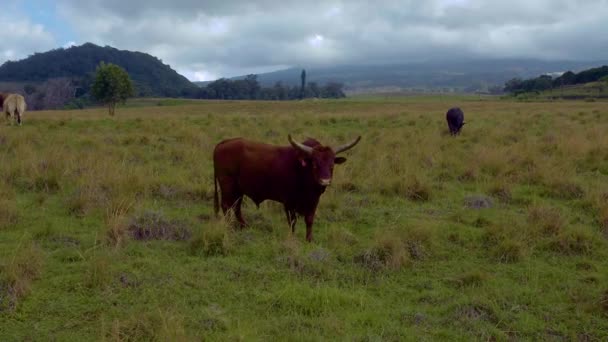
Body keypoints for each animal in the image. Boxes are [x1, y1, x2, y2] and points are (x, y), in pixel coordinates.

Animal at [213, 134, 360, 240]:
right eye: (315, 164)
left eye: (332, 165)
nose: (325, 181)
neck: (302, 170)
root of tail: (225, 142)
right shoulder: (289, 203)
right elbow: (292, 222)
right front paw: (293, 238)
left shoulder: (313, 202)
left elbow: (309, 220)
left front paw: (309, 239)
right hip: (228, 187)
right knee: (226, 206)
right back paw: (229, 228)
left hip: (238, 190)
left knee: (236, 207)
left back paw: (244, 226)